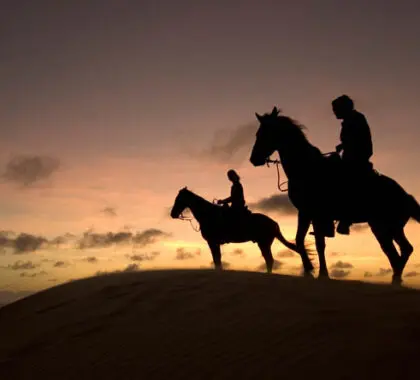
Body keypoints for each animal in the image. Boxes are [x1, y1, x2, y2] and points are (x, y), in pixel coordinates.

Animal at [169, 187, 304, 274]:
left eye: (179, 199)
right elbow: (217, 259)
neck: (208, 215)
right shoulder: (214, 243)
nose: (172, 214)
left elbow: (216, 259)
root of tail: (274, 222)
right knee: (269, 260)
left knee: (269, 260)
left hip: (264, 243)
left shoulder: (212, 242)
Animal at [248, 107, 418, 282]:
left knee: (398, 251)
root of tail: (406, 196)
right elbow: (301, 240)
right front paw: (310, 269)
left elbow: (318, 244)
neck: (306, 168)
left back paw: (396, 278)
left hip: (386, 227)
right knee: (400, 251)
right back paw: (396, 278)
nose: (253, 159)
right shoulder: (306, 213)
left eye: (264, 133)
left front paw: (321, 272)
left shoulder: (312, 213)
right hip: (386, 227)